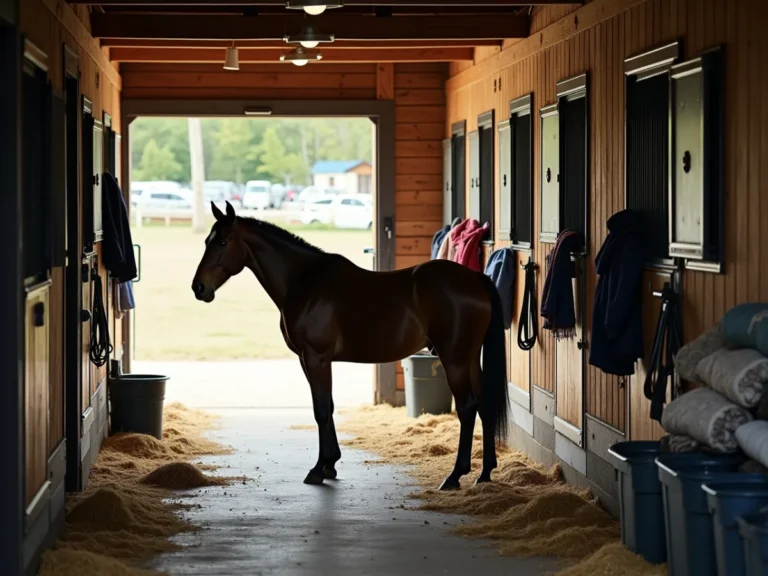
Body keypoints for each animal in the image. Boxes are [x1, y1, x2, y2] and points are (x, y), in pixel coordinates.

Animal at [191, 201, 509, 490]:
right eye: (207, 241)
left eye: (222, 241)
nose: (199, 288)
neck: (303, 281)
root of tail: (475, 279)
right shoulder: (314, 360)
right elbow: (328, 406)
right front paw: (330, 465)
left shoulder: (314, 357)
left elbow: (321, 409)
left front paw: (318, 469)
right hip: (469, 359)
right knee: (484, 405)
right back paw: (484, 473)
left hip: (454, 360)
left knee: (467, 408)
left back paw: (455, 476)